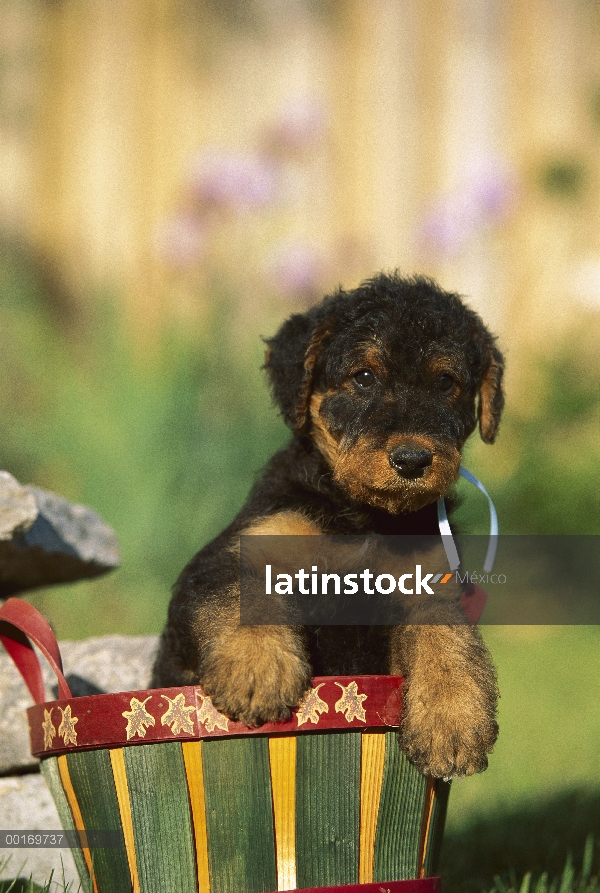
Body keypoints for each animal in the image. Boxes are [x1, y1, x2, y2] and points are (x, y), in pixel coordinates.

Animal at [152, 270, 504, 772]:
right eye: (364, 376)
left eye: (445, 381)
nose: (412, 460)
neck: (362, 518)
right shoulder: (235, 551)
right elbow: (241, 589)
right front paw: (257, 670)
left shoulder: (431, 585)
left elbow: (448, 640)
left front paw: (453, 721)